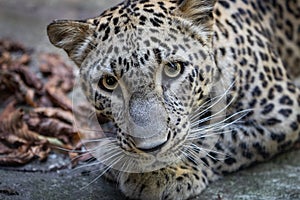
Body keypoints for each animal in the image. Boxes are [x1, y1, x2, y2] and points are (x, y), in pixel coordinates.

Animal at [45, 0, 298, 199]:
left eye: (173, 68)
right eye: (109, 82)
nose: (151, 147)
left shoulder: (283, 108)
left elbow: (218, 140)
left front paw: (161, 173)